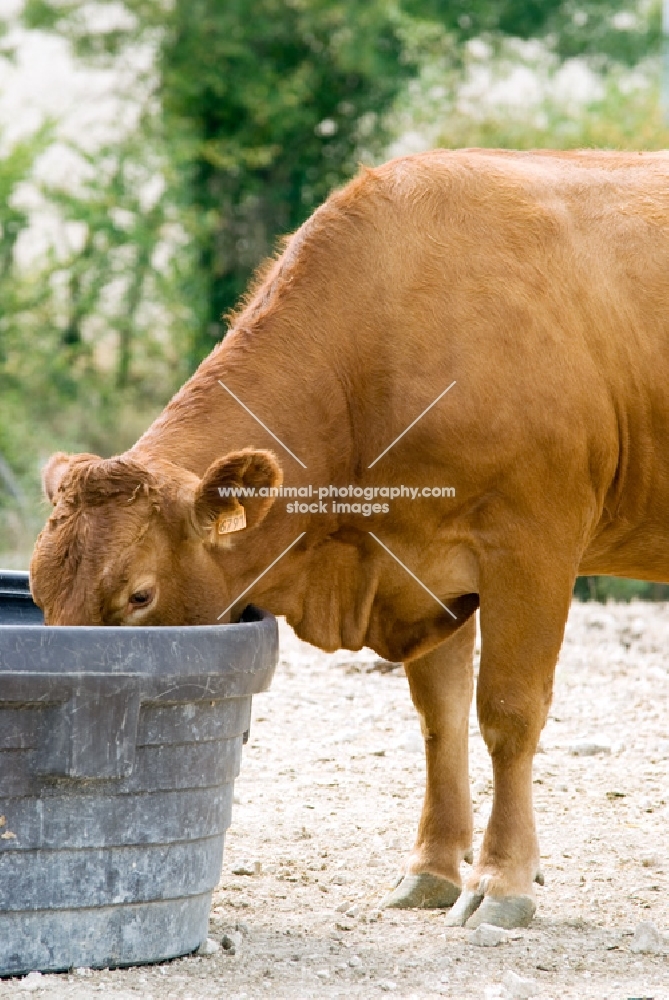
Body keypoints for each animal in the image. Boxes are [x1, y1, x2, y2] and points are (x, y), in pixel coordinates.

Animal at [28, 150, 668, 928]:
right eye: (38, 590)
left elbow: (508, 713)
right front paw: (431, 871)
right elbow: (440, 717)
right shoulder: (425, 568)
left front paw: (501, 882)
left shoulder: (533, 544)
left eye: (139, 595)